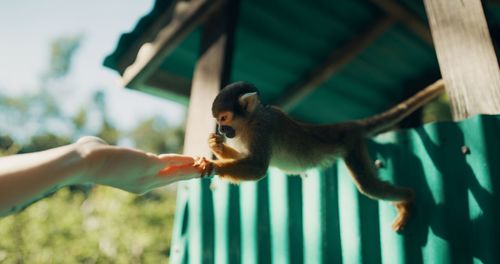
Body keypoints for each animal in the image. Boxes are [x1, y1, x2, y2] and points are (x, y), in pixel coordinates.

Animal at [195, 80, 446, 231]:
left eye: (224, 118)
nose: (221, 130)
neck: (249, 121)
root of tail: (347, 124)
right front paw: (215, 146)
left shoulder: (263, 128)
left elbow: (258, 168)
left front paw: (210, 166)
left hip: (351, 144)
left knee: (369, 186)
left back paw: (409, 199)